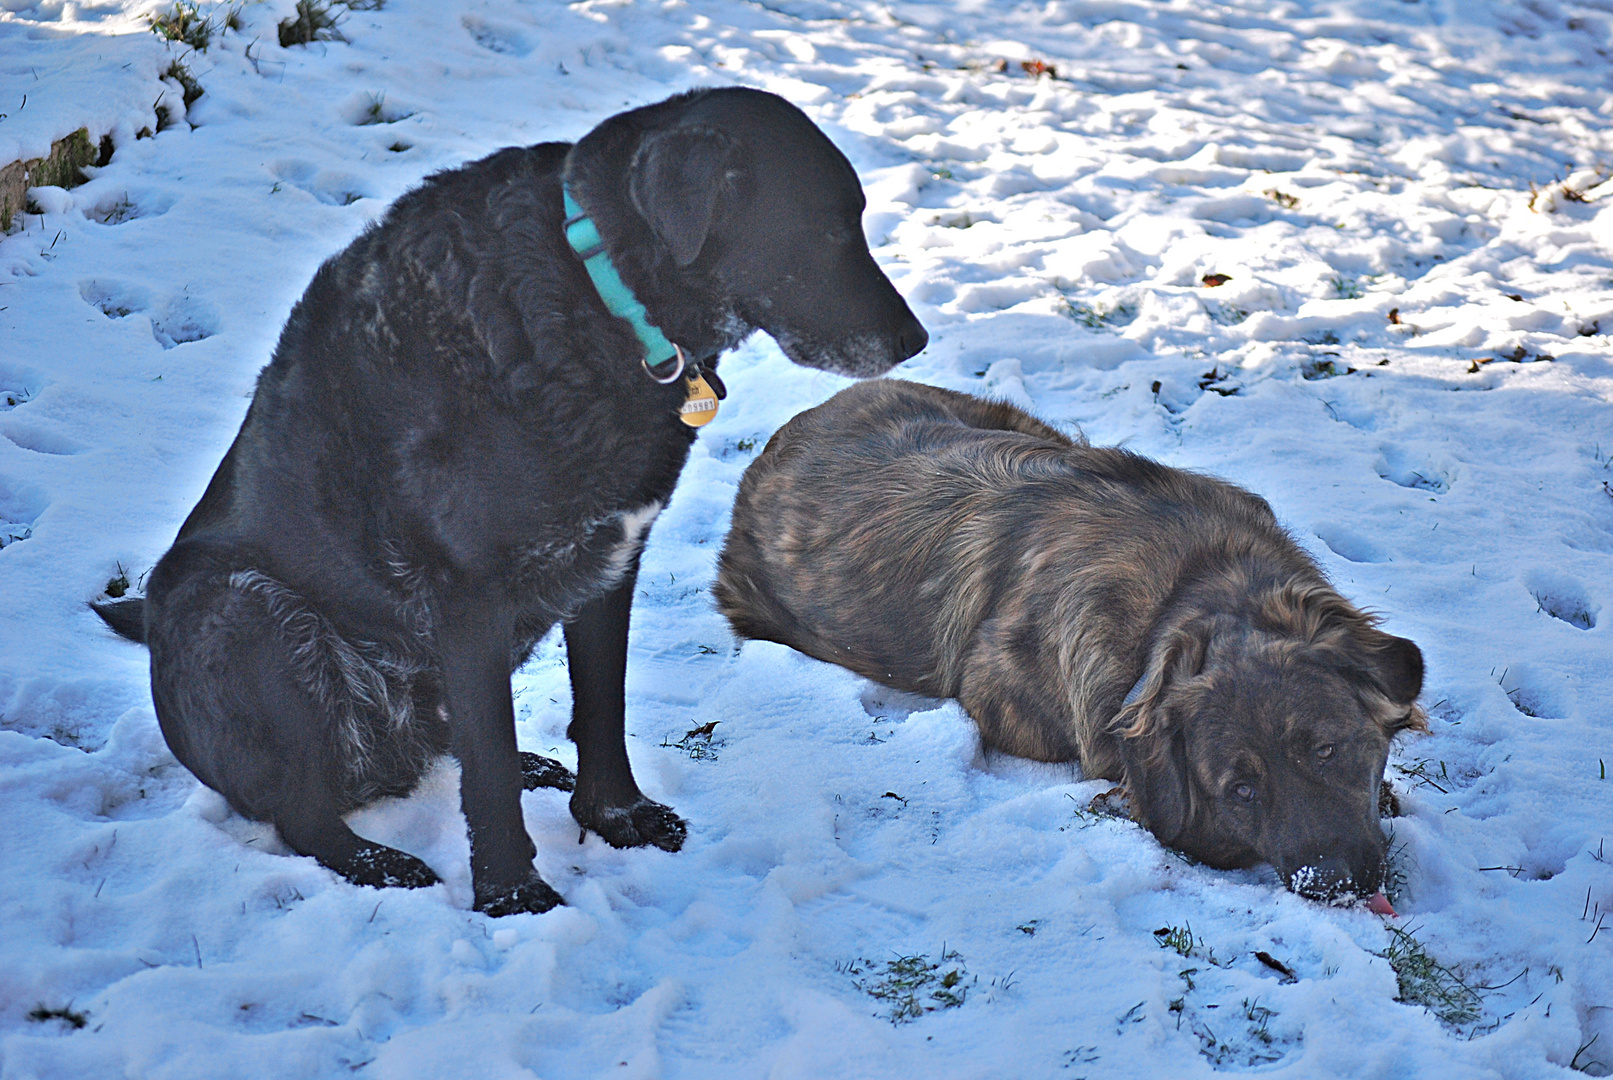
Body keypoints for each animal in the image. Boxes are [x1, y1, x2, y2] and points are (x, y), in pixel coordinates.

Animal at [94, 88, 929, 915]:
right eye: (827, 229)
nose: (916, 341)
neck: (595, 292)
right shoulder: (469, 593)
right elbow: (488, 768)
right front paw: (511, 893)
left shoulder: (610, 562)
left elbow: (599, 710)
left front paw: (613, 815)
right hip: (236, 605)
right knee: (305, 809)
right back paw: (378, 862)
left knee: (445, 746)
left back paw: (534, 767)